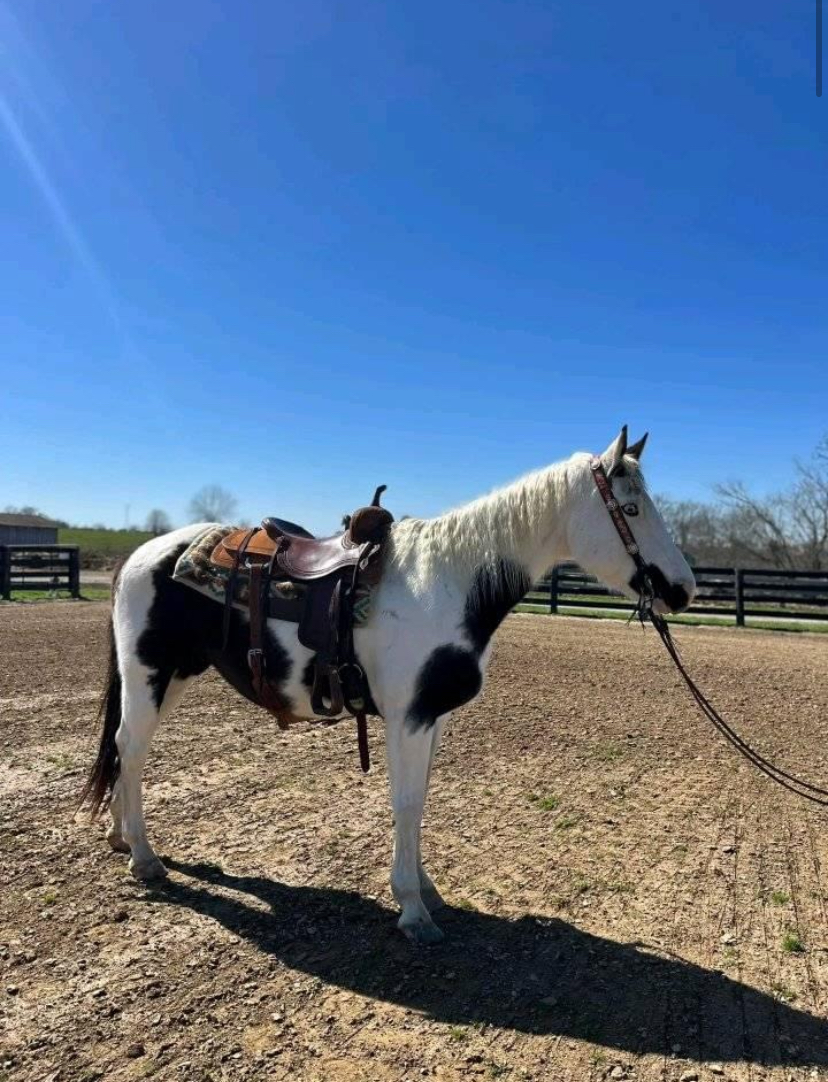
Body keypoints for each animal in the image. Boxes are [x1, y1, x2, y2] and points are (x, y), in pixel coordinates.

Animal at [82, 426, 695, 943]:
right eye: (631, 509)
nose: (683, 590)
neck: (447, 584)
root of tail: (140, 555)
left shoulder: (431, 717)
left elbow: (418, 799)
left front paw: (427, 890)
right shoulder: (409, 717)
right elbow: (405, 800)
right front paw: (413, 910)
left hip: (176, 676)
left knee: (127, 752)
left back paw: (121, 837)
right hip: (148, 674)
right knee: (130, 749)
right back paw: (144, 858)